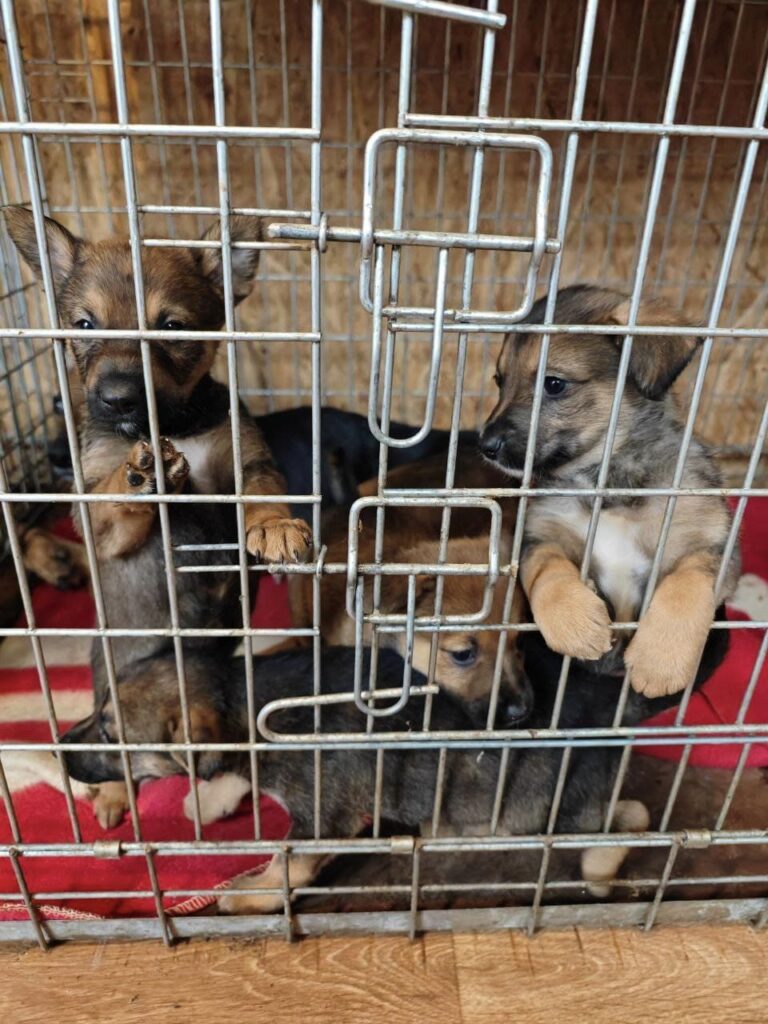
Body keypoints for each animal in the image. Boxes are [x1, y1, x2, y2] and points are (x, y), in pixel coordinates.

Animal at [4, 206, 312, 824]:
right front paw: (139, 470)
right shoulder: (98, 520)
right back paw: (113, 793)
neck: (175, 424)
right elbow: (112, 495)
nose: (119, 399)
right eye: (84, 326)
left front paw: (276, 528)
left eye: (172, 327)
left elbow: (260, 496)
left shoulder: (247, 459)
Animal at [60, 640, 728, 913]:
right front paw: (214, 794)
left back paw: (599, 869)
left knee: (618, 826)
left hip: (533, 806)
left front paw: (251, 892)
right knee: (631, 812)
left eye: (111, 733)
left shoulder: (321, 819)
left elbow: (287, 861)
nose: (61, 748)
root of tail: (612, 701)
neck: (247, 699)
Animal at [479, 285, 738, 699]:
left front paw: (660, 661)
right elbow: (546, 570)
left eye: (554, 383)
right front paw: (574, 622)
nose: (485, 445)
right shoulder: (541, 534)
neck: (607, 478)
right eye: (500, 380)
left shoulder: (711, 543)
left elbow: (688, 584)